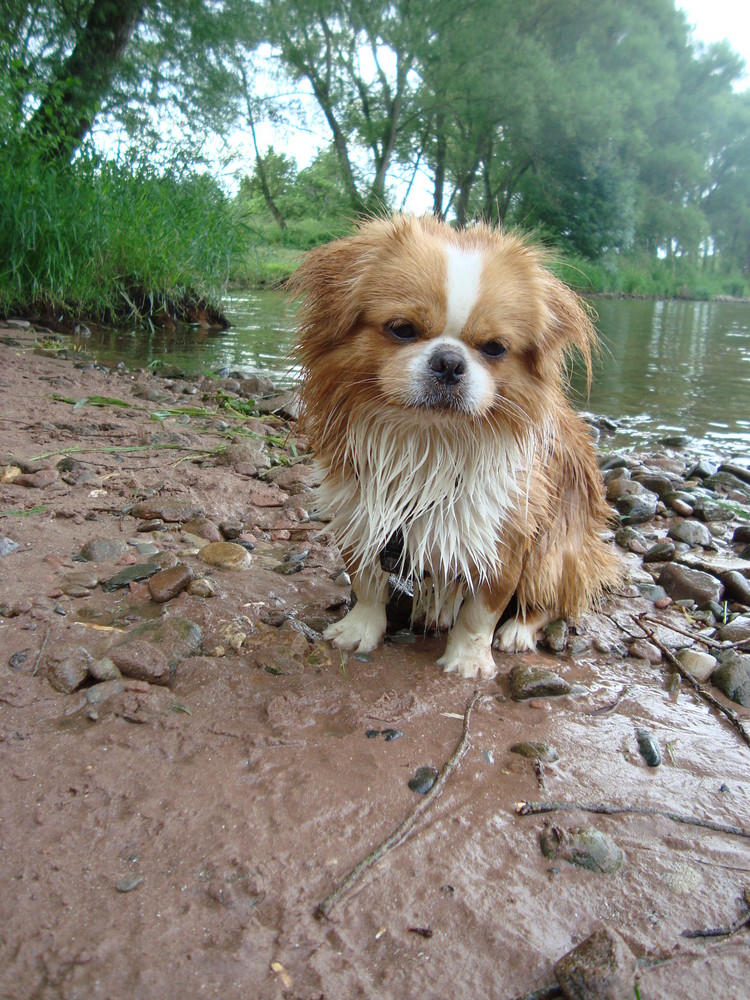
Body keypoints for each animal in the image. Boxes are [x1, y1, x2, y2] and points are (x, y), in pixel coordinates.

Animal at [290, 213, 620, 680]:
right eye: (402, 329)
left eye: (495, 348)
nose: (449, 362)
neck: (431, 441)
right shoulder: (362, 512)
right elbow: (367, 583)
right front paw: (359, 630)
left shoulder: (504, 536)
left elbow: (481, 611)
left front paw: (468, 660)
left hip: (554, 555)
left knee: (546, 601)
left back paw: (517, 631)